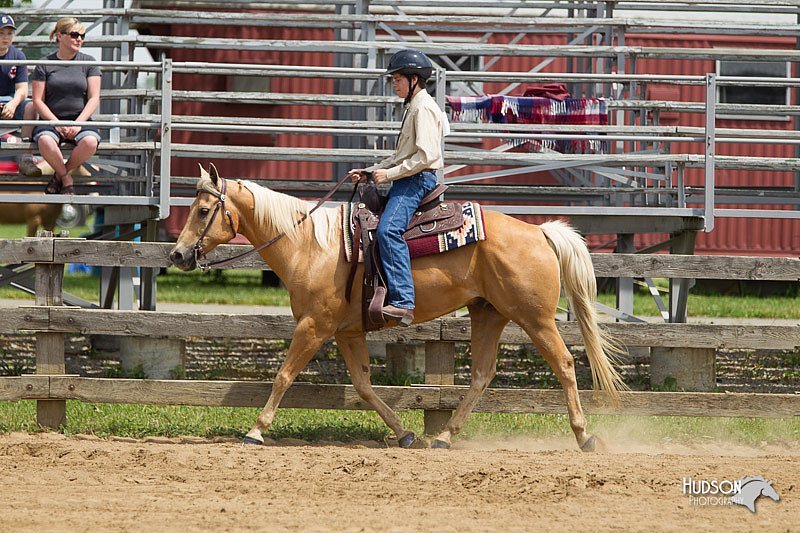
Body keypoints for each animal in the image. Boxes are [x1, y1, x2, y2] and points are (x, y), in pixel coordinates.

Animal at [172, 165, 628, 448]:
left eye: (205, 210)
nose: (177, 255)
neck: (309, 245)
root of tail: (539, 232)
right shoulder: (347, 332)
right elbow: (363, 386)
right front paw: (404, 433)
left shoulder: (313, 326)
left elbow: (283, 376)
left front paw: (255, 431)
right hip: (488, 313)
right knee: (482, 374)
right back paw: (443, 437)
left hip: (534, 318)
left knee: (565, 364)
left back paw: (585, 436)